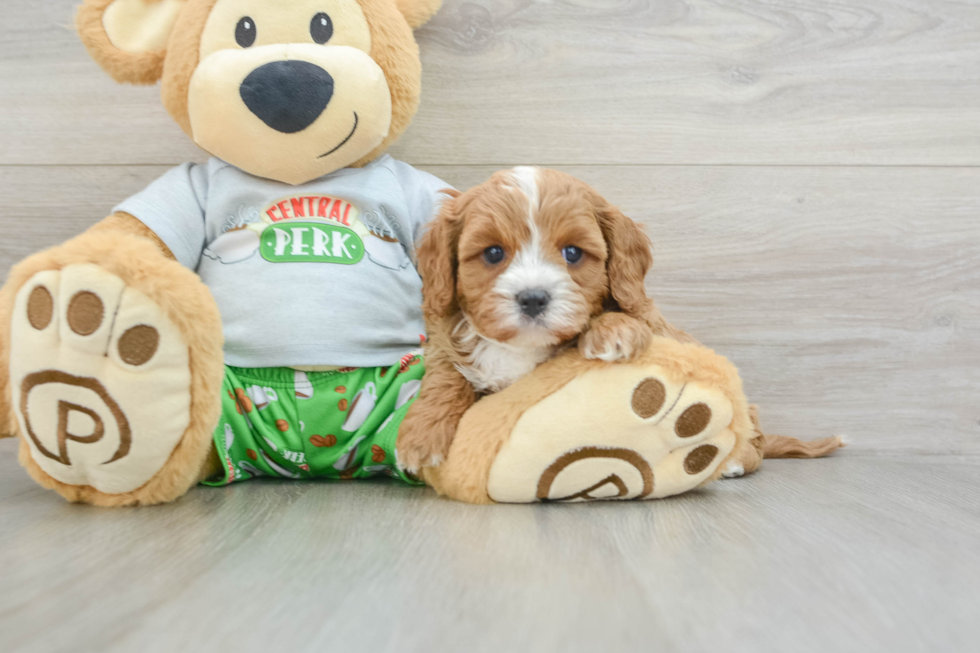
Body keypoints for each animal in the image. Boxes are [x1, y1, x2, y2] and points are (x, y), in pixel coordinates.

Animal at [398, 166, 688, 472]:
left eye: (572, 252)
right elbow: (445, 373)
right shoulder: (442, 335)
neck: (522, 348)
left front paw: (615, 330)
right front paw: (422, 434)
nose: (533, 298)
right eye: (493, 252)